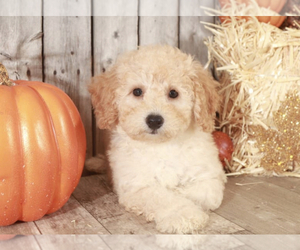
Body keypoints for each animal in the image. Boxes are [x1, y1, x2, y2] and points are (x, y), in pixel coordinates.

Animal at [88, 45, 226, 234]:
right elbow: (164, 197)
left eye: (173, 93)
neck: (162, 146)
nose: (154, 120)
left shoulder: (208, 177)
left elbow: (200, 193)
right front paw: (184, 215)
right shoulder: (137, 185)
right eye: (137, 91)